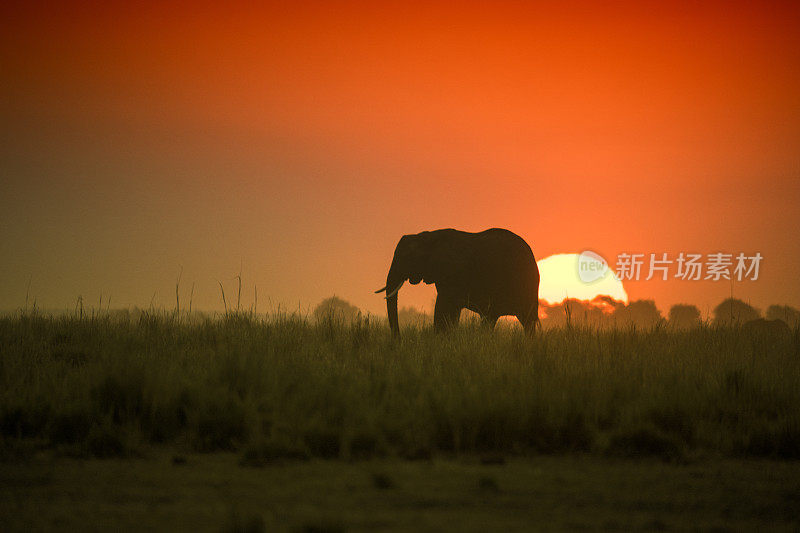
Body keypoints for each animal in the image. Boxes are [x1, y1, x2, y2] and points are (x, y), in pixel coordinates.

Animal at [376, 225, 540, 334]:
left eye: (406, 257)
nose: (398, 341)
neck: (427, 237)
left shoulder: (452, 273)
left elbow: (444, 307)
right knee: (493, 319)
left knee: (526, 320)